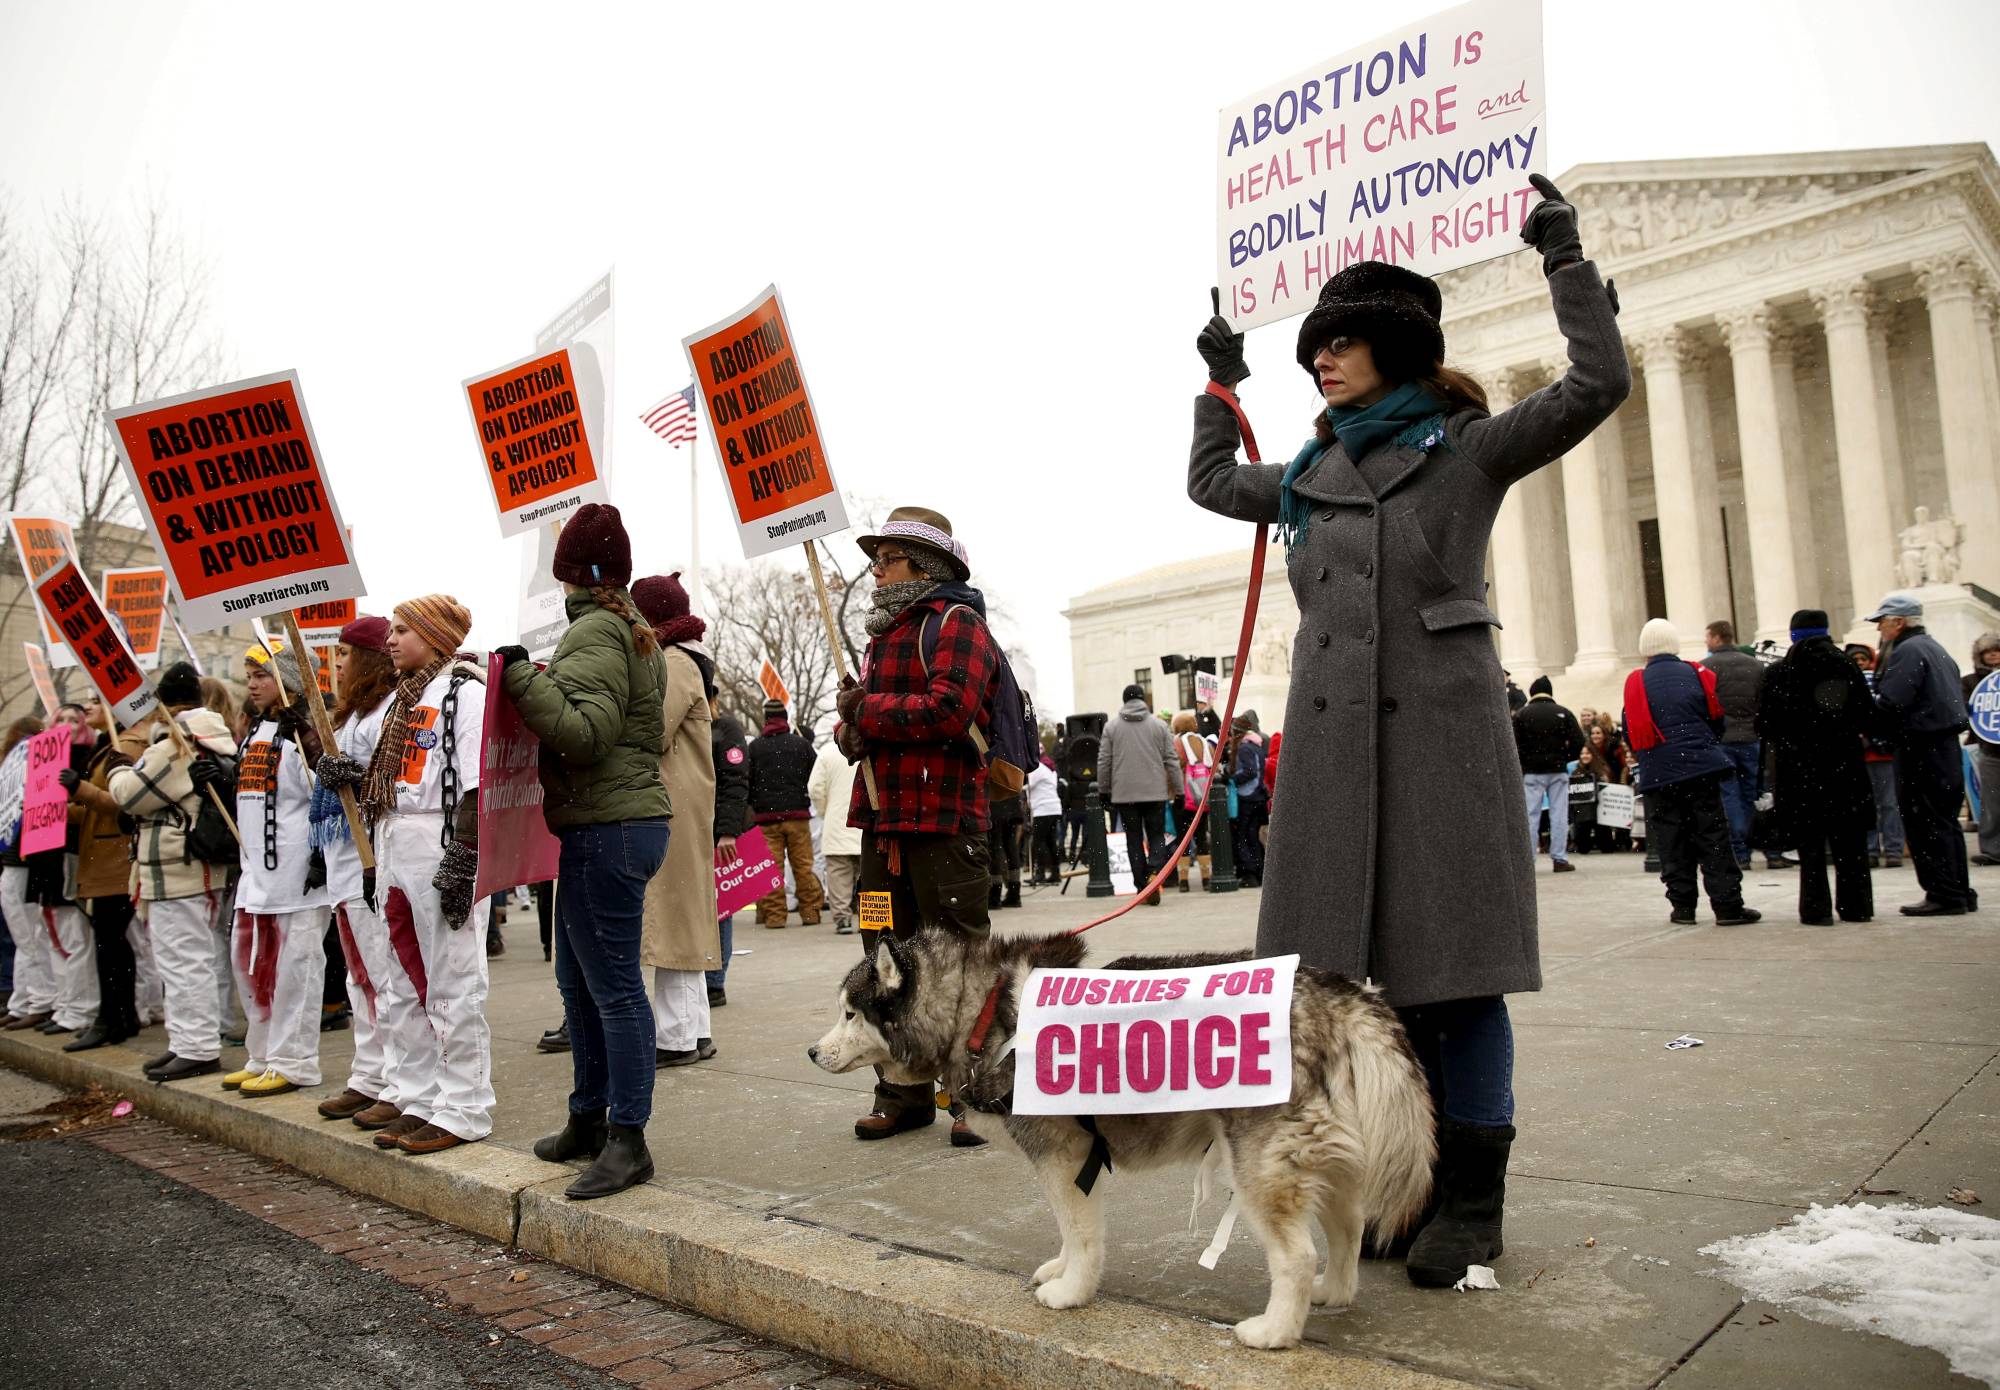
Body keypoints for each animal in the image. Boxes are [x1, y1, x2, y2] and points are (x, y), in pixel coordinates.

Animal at [812, 928, 1440, 1352]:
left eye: (850, 1013)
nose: (813, 1052)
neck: (980, 1012)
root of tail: (1338, 992)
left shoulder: (1063, 1155)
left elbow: (1082, 1233)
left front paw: (1072, 1292)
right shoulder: (1065, 1164)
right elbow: (1069, 1229)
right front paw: (1063, 1270)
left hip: (1261, 1166)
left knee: (1298, 1253)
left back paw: (1277, 1330)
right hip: (1322, 1158)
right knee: (1348, 1225)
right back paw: (1332, 1292)